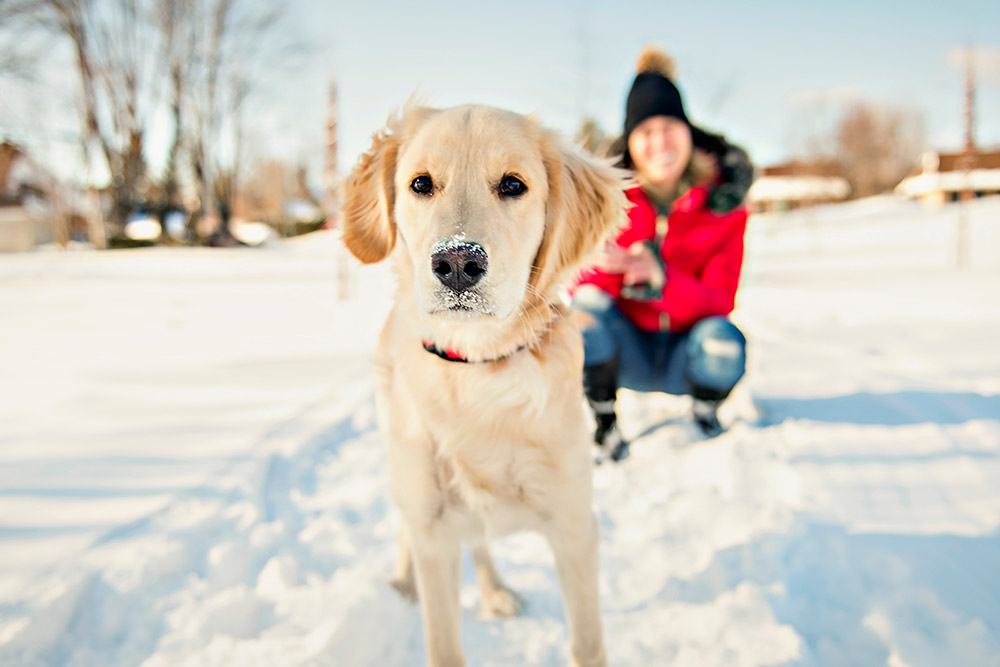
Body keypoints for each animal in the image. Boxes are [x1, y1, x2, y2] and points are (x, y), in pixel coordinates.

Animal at [340, 104, 628, 667]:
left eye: (513, 184)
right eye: (421, 183)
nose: (457, 262)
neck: (477, 370)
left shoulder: (575, 526)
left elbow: (587, 644)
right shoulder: (433, 531)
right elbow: (443, 644)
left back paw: (495, 593)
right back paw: (403, 584)